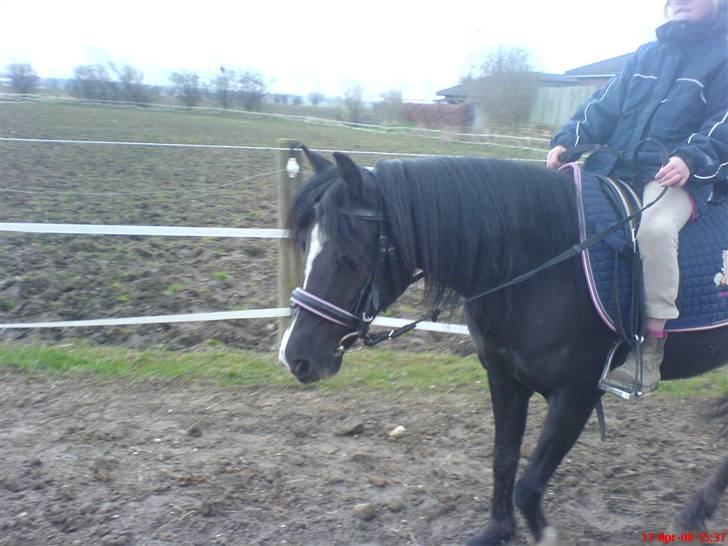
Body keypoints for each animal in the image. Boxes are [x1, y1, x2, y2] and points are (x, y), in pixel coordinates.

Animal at [278, 146, 728, 544]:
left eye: (349, 258)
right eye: (303, 245)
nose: (295, 356)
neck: (544, 265)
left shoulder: (577, 395)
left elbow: (528, 485)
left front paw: (543, 535)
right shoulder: (505, 379)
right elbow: (504, 461)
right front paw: (498, 532)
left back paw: (694, 513)